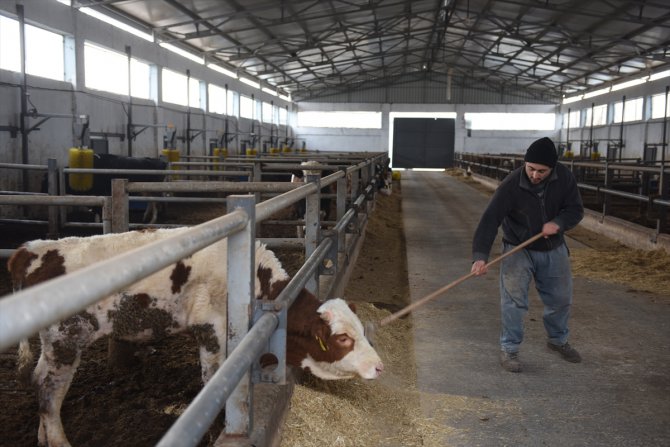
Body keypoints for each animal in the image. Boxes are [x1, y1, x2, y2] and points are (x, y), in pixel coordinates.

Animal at [9, 229, 384, 447]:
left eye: (361, 329)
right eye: (343, 339)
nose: (379, 366)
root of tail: (29, 250)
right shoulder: (210, 328)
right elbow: (213, 380)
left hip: (52, 343)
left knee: (39, 380)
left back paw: (43, 437)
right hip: (66, 339)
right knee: (50, 389)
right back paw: (58, 441)